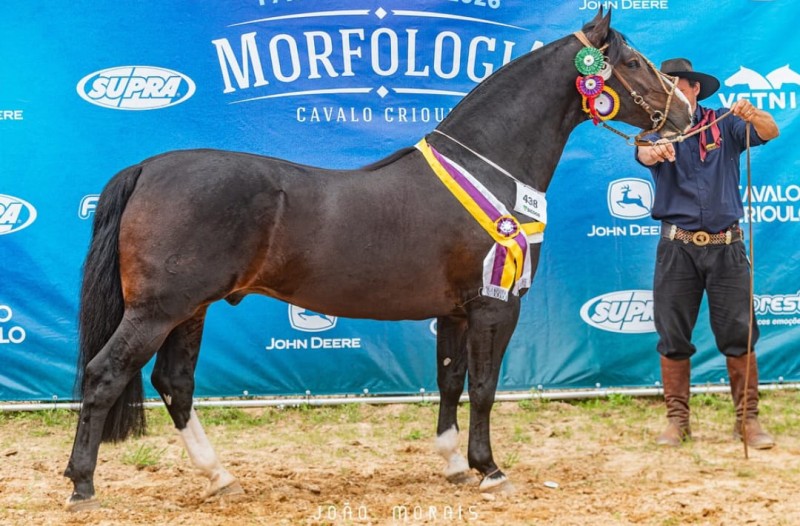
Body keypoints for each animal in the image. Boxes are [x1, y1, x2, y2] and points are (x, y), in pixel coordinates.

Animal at [64, 9, 691, 510]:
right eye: (633, 62)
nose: (686, 112)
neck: (490, 171)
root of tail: (147, 168)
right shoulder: (494, 306)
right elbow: (486, 386)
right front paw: (489, 469)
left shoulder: (455, 312)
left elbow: (450, 380)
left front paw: (454, 464)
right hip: (158, 310)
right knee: (105, 374)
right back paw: (82, 484)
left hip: (189, 310)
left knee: (174, 382)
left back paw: (219, 477)